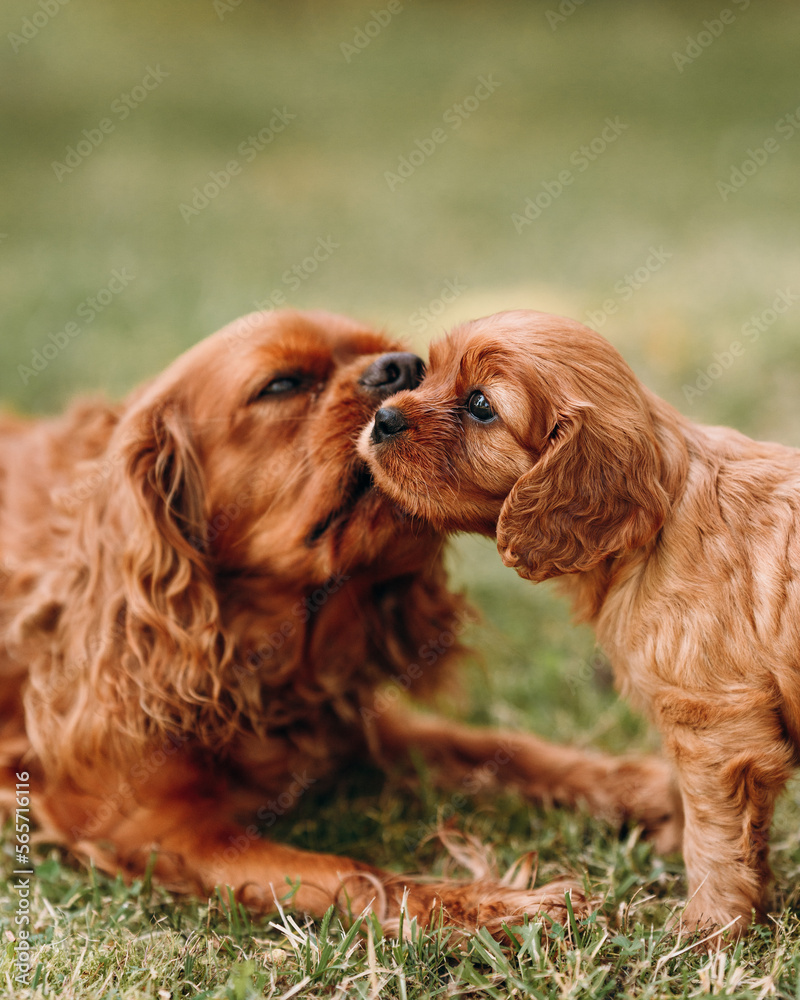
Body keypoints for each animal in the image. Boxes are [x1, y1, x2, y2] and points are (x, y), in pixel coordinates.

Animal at [0, 308, 680, 932]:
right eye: (282, 384)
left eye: (415, 367)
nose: (401, 368)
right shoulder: (161, 835)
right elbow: (357, 877)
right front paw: (502, 908)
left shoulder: (360, 724)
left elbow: (499, 750)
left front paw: (645, 787)